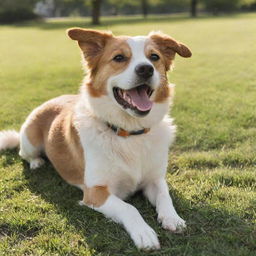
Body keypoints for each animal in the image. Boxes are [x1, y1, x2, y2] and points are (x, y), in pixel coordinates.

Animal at [0, 28, 191, 250]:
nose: (146, 69)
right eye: (119, 58)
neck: (129, 132)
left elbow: (164, 195)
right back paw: (37, 162)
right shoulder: (95, 192)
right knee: (25, 153)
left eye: (154, 57)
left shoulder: (154, 179)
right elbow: (129, 208)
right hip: (29, 139)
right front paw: (144, 233)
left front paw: (172, 218)